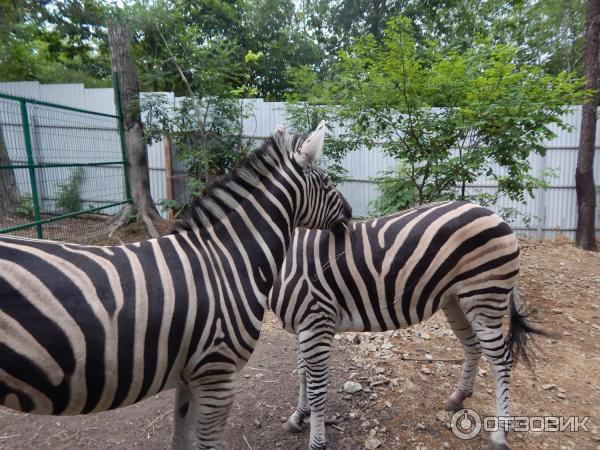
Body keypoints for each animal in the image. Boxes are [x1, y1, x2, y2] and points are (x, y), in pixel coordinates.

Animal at [0, 122, 352, 450]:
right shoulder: (218, 374)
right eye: (326, 182)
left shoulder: (190, 374)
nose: (350, 214)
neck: (228, 259)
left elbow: (180, 439)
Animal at [268, 201, 544, 450]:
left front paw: (316, 441)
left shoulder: (316, 322)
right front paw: (297, 416)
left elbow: (316, 388)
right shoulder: (305, 325)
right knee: (473, 347)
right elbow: (302, 374)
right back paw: (458, 398)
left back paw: (499, 433)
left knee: (501, 361)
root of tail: (495, 215)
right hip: (456, 300)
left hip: (485, 295)